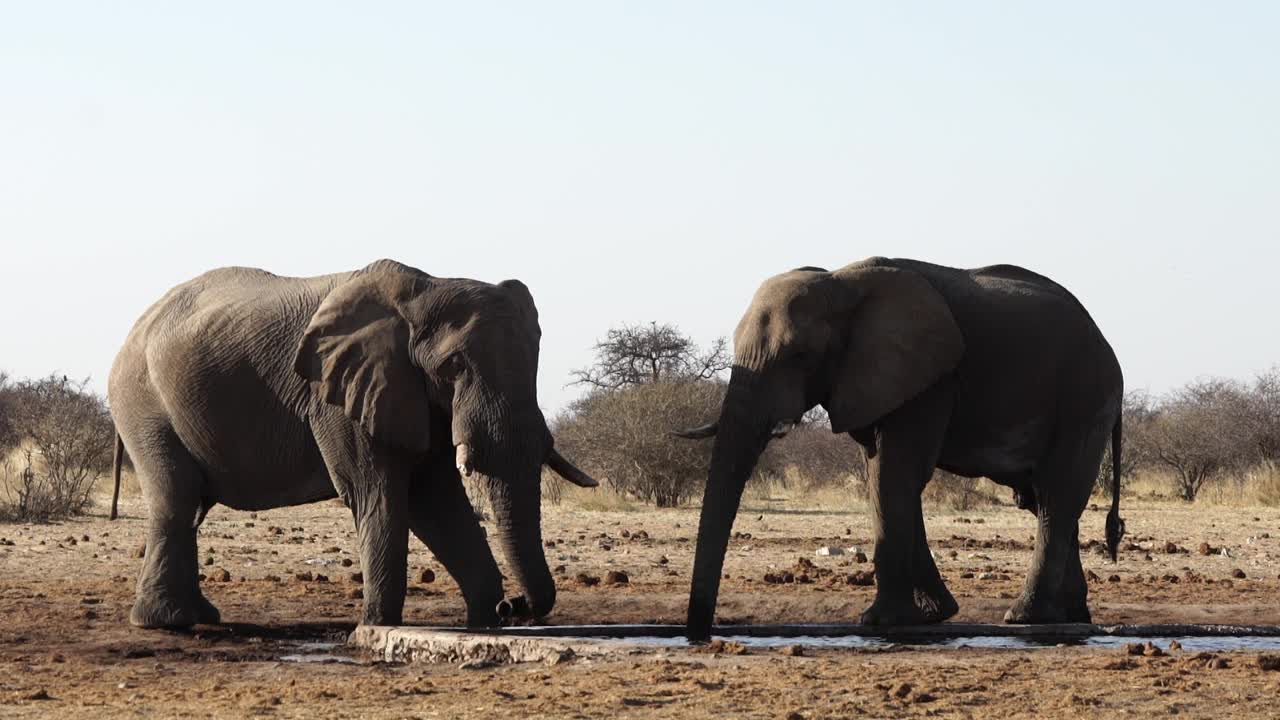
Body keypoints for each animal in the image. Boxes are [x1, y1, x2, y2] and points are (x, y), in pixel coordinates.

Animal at [110, 257, 593, 627]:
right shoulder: (337, 395)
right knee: (176, 499)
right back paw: (170, 622)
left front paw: (483, 623)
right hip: (143, 403)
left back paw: (196, 618)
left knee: (189, 506)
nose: (514, 605)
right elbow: (378, 493)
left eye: (535, 359)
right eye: (454, 366)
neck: (425, 288)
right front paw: (377, 627)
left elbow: (435, 501)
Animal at [675, 257, 1126, 638]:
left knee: (1055, 496)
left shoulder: (931, 381)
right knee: (1040, 501)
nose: (699, 634)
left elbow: (893, 474)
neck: (840, 281)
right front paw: (933, 615)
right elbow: (888, 478)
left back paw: (1025, 617)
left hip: (1085, 399)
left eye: (800, 355)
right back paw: (1070, 617)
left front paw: (879, 622)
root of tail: (1108, 345)